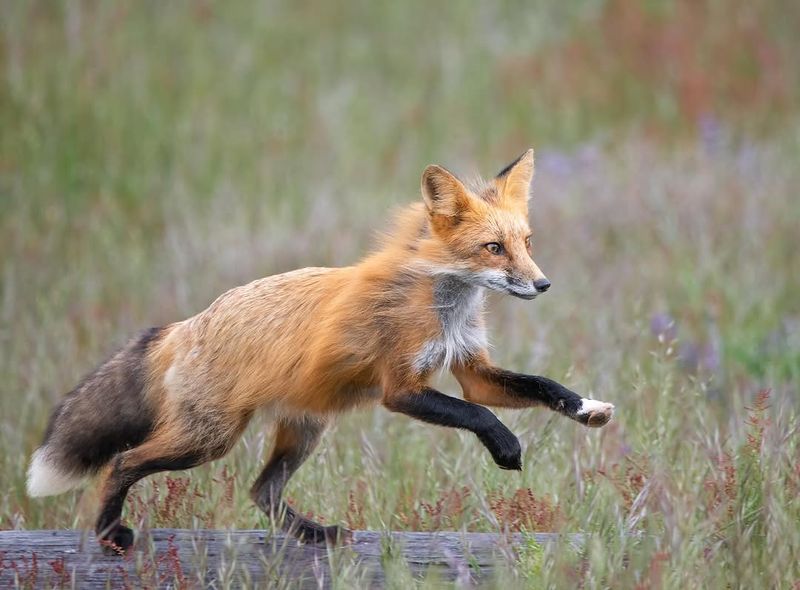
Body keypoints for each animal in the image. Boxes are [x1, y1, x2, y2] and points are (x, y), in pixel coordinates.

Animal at [27, 149, 614, 553]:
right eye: (494, 248)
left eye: (527, 243)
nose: (543, 285)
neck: (443, 303)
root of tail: (185, 325)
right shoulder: (401, 389)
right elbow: (478, 415)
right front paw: (507, 446)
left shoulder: (473, 370)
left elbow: (540, 385)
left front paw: (586, 408)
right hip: (207, 440)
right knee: (124, 461)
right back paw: (110, 532)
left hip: (303, 430)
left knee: (261, 492)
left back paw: (315, 535)